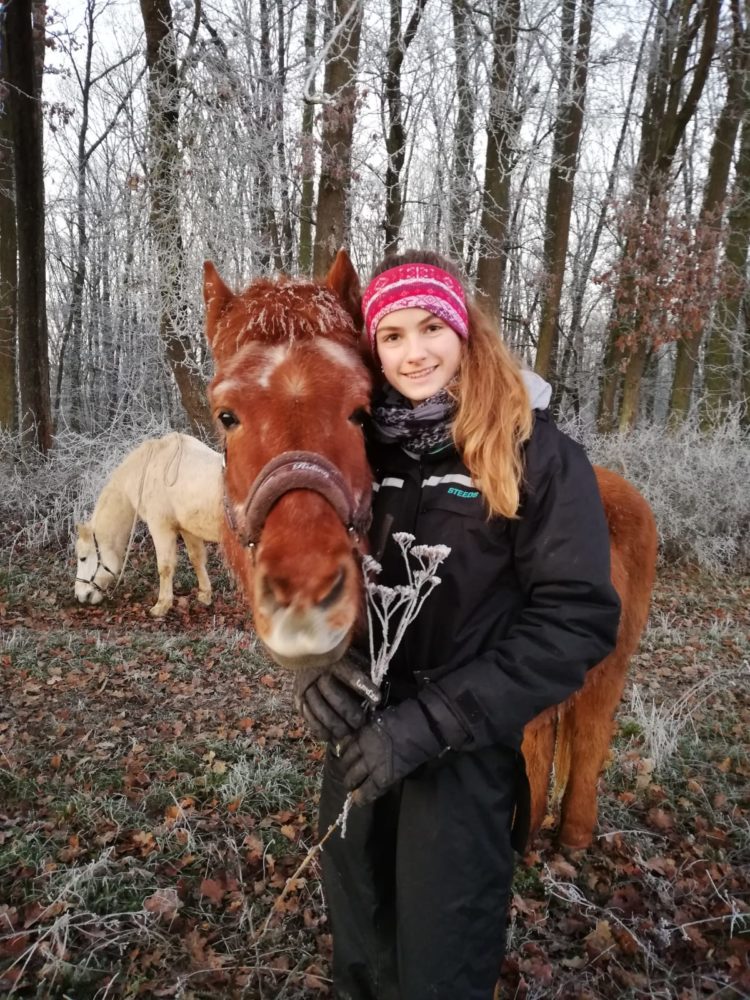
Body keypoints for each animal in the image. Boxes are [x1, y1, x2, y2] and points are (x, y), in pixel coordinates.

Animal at [75, 432, 225, 612]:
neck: (146, 471)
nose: (80, 596)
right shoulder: (187, 528)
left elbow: (165, 567)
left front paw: (161, 606)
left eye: (83, 558)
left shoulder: (160, 528)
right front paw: (204, 595)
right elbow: (196, 558)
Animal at [204, 252, 656, 852]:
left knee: (588, 735)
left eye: (361, 411)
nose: (304, 598)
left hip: (606, 673)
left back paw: (571, 837)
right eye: (227, 415)